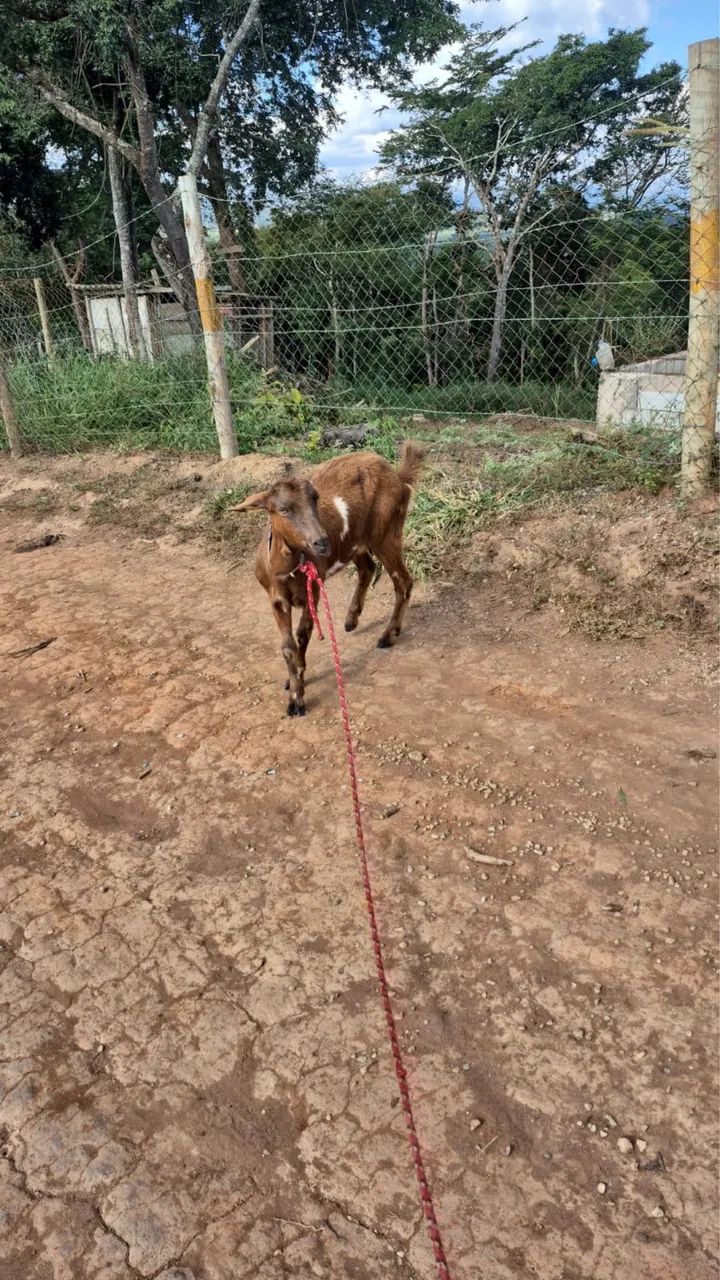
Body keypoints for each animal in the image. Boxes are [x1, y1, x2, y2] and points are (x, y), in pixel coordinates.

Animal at [234, 441, 424, 716]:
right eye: (283, 509)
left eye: (315, 501)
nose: (321, 542)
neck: (289, 568)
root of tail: (397, 475)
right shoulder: (276, 599)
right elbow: (288, 646)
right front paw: (292, 683)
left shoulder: (312, 590)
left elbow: (303, 634)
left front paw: (298, 698)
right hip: (356, 542)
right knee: (368, 568)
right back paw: (351, 619)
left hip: (386, 532)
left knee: (402, 580)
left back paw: (388, 635)